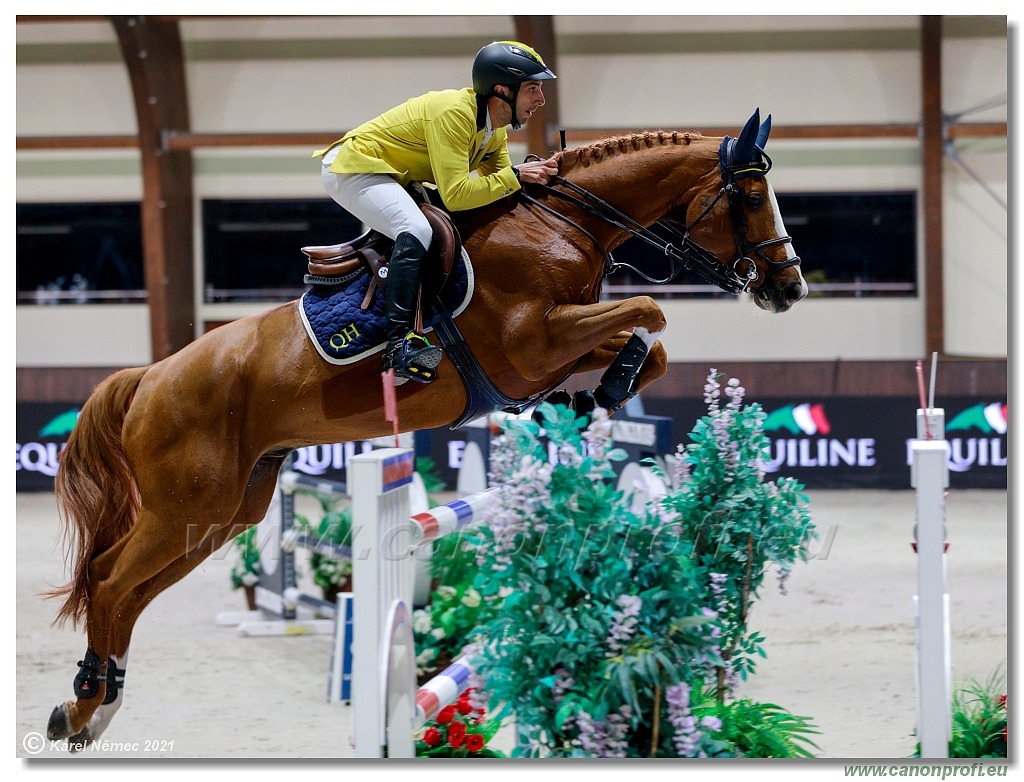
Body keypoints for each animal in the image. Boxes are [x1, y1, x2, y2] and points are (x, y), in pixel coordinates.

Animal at [44, 106, 802, 749]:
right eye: (750, 196)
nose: (789, 288)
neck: (560, 225)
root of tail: (149, 377)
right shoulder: (533, 345)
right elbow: (651, 311)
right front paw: (604, 389)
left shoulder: (557, 345)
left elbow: (650, 341)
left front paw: (596, 395)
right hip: (183, 507)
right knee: (109, 583)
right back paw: (84, 705)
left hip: (223, 511)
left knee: (131, 593)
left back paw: (94, 707)